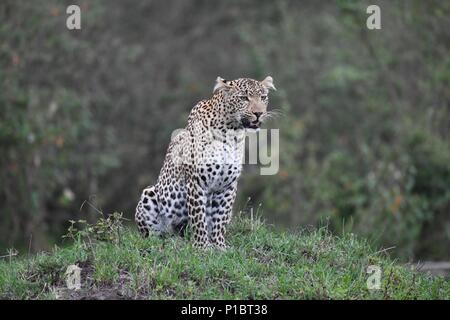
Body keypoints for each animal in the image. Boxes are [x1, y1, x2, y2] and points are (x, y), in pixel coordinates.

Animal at [134, 75, 276, 250]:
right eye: (244, 98)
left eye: (263, 97)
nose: (259, 113)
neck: (232, 133)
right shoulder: (197, 182)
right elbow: (199, 217)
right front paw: (202, 247)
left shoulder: (228, 185)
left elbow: (220, 218)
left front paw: (220, 246)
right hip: (150, 194)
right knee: (153, 234)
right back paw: (168, 241)